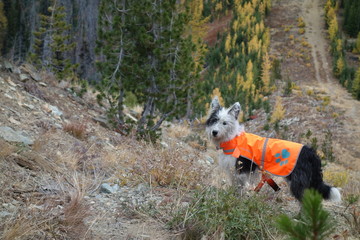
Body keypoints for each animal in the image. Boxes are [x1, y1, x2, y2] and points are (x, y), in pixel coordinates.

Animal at [207, 96, 342, 202]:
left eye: (224, 123)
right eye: (214, 120)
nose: (214, 132)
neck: (233, 139)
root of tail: (310, 152)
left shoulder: (241, 171)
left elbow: (239, 188)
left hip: (298, 181)